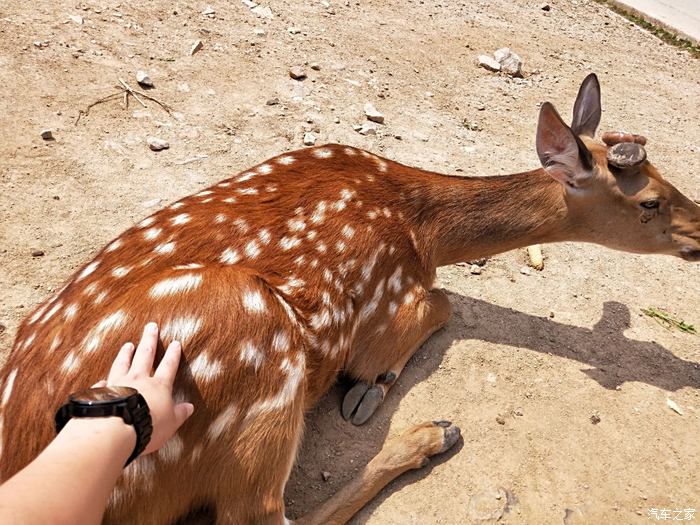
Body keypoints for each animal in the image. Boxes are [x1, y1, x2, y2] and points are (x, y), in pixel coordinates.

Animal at [1, 74, 700, 524]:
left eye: (668, 179)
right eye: (649, 203)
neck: (421, 228)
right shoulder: (392, 296)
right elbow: (446, 304)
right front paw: (374, 383)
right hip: (258, 354)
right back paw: (427, 435)